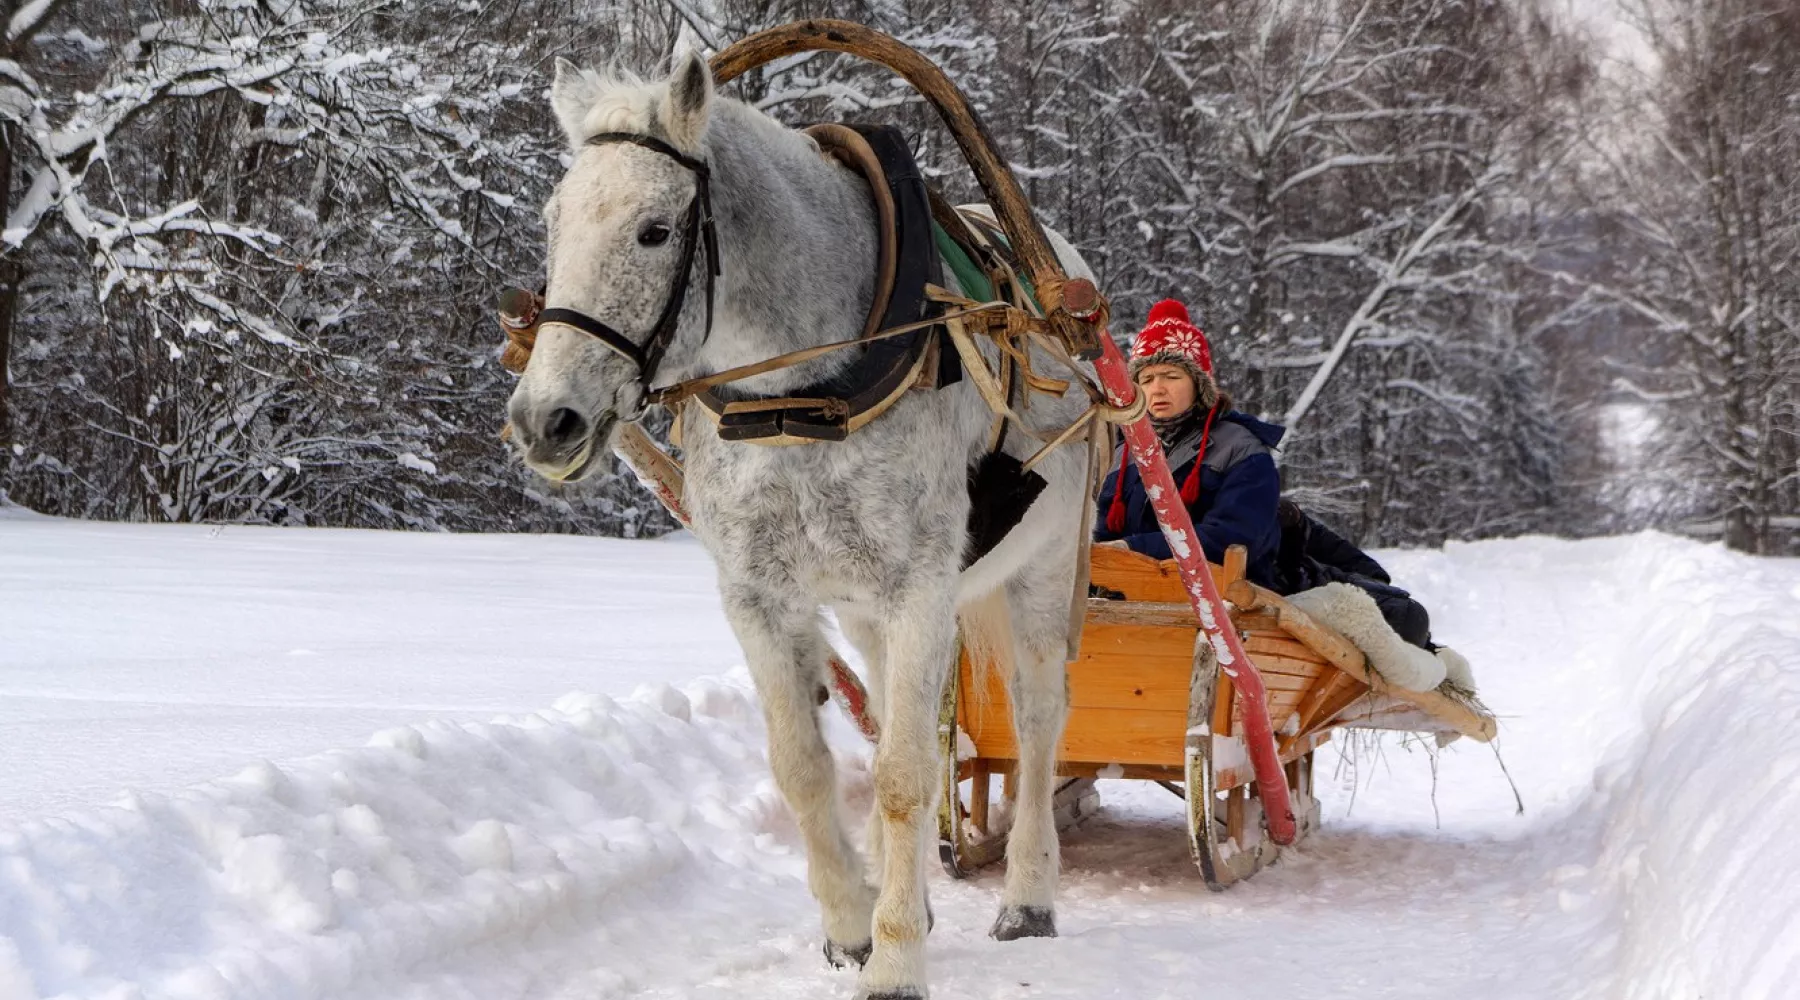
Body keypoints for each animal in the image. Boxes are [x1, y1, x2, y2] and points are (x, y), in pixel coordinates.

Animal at [507, 50, 1094, 992]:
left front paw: (896, 961)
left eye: (655, 231)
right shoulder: (759, 594)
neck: (797, 398)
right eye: (554, 224)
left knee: (1039, 720)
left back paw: (1028, 895)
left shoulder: (922, 589)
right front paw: (856, 924)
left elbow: (905, 776)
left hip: (1043, 567)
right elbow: (806, 766)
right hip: (862, 611)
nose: (543, 420)